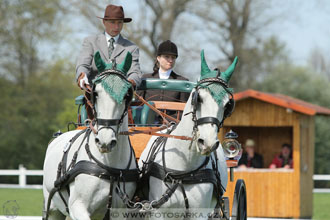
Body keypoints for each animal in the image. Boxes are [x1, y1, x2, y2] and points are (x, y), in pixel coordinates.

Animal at [42, 52, 138, 220]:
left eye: (127, 94)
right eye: (96, 93)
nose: (105, 141)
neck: (109, 166)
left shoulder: (119, 212)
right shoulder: (77, 207)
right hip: (52, 207)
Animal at [139, 50, 237, 219]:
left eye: (227, 105)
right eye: (199, 98)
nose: (208, 143)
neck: (184, 168)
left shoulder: (200, 214)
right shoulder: (158, 212)